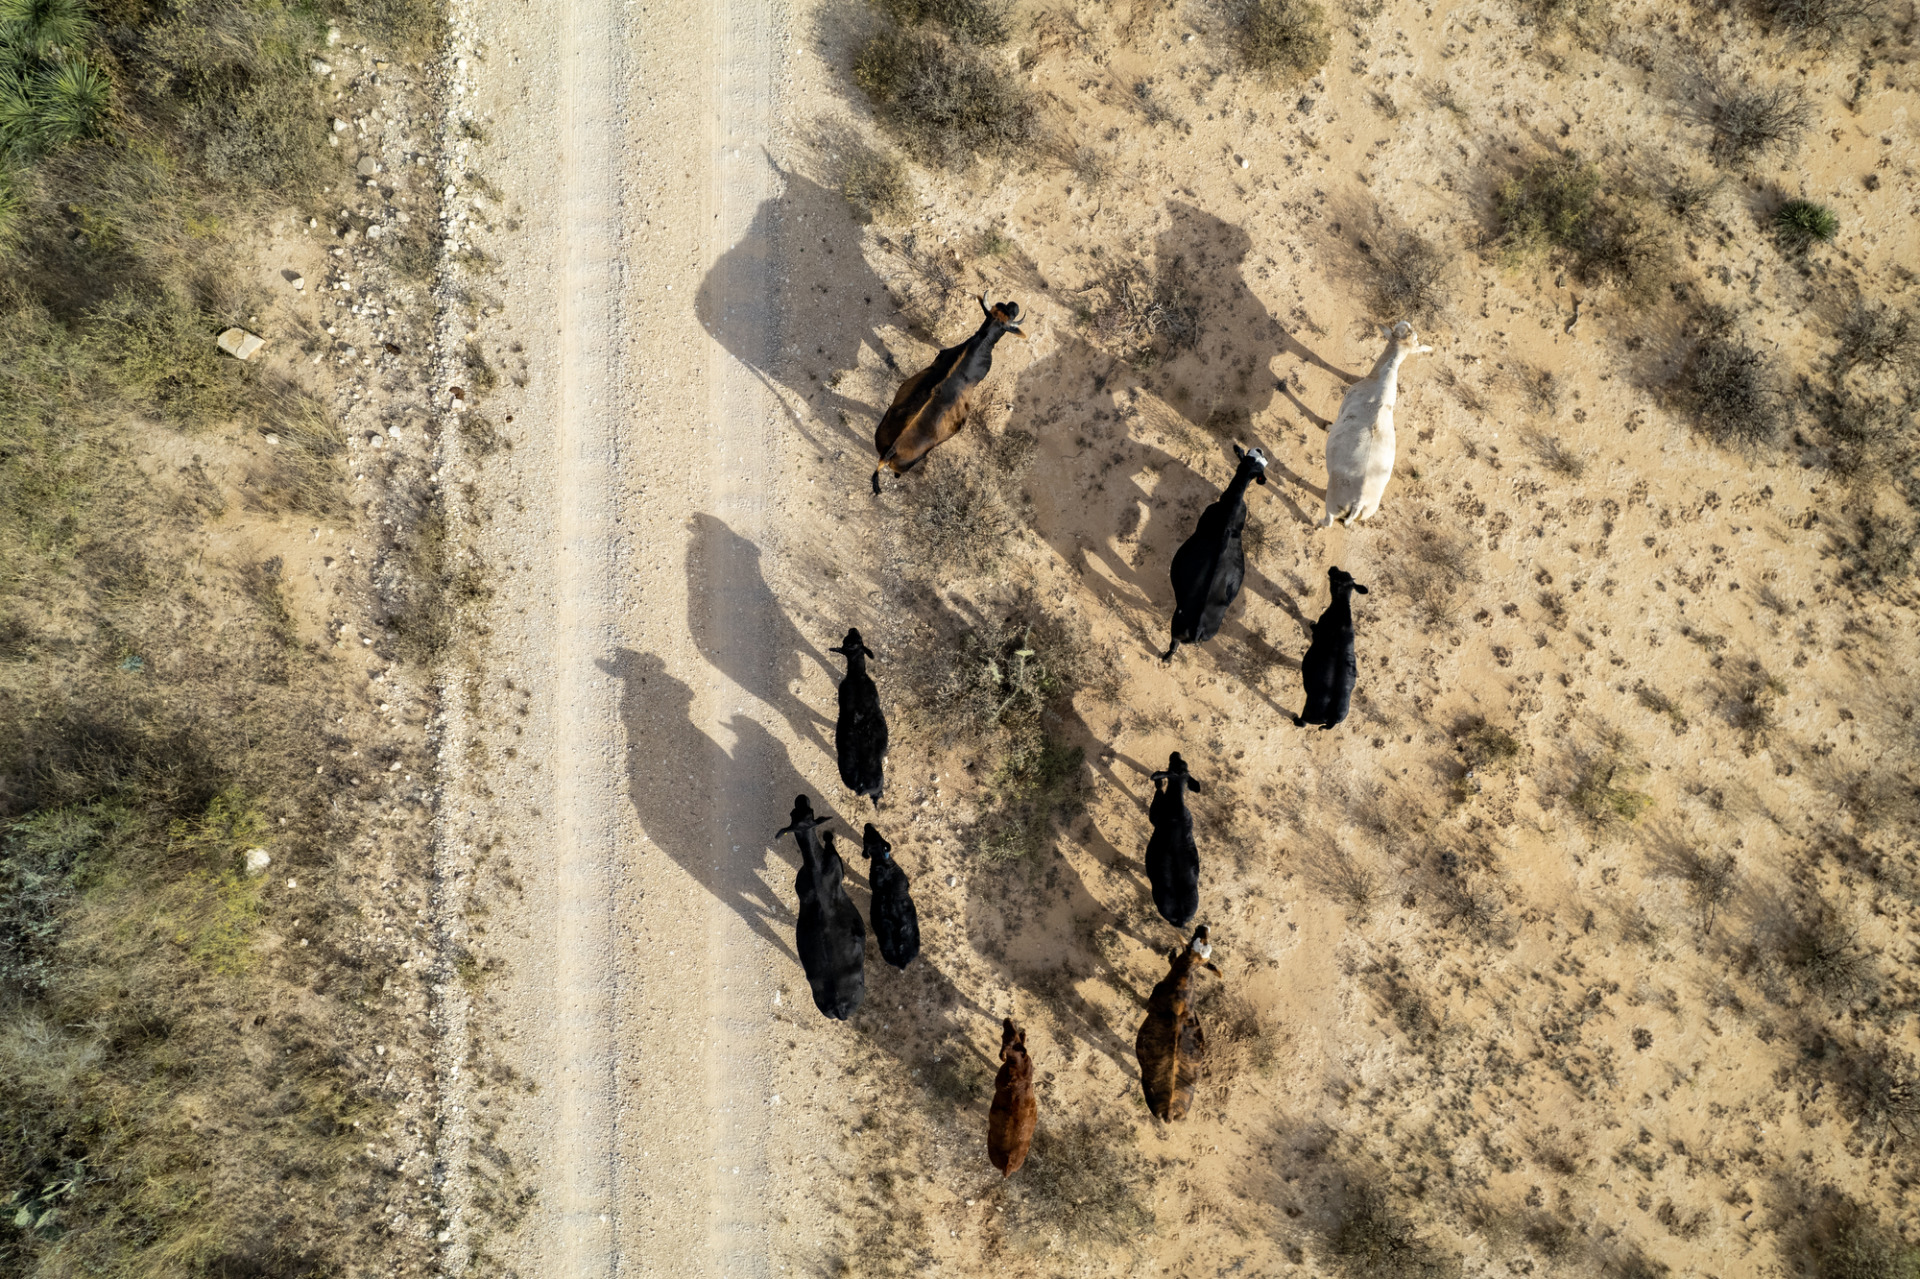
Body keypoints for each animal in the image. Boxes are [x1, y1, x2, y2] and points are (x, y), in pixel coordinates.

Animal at [775, 795, 866, 1020]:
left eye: (795, 812)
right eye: (811, 811)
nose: (801, 797)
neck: (814, 867)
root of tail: (838, 1005)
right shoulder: (835, 862)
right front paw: (828, 835)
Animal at [830, 628, 887, 808]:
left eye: (850, 640)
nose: (853, 628)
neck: (857, 675)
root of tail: (861, 783)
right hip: (876, 786)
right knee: (877, 795)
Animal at [1144, 752, 1203, 929]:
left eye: (1171, 764)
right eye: (1182, 763)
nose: (1175, 753)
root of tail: (1181, 916)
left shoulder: (1154, 814)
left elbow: (1158, 789)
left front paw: (1158, 781)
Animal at [1293, 567, 1369, 731]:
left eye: (1336, 576)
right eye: (1343, 573)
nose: (1333, 567)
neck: (1341, 608)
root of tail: (1333, 717)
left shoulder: (1318, 629)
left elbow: (1312, 628)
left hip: (1309, 712)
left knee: (1303, 722)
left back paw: (1296, 719)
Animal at [1320, 320, 1432, 527]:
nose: (1405, 322)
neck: (1380, 389)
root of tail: (1358, 503)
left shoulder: (1344, 405)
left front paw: (1327, 426)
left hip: (1332, 503)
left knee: (1329, 519)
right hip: (1368, 511)